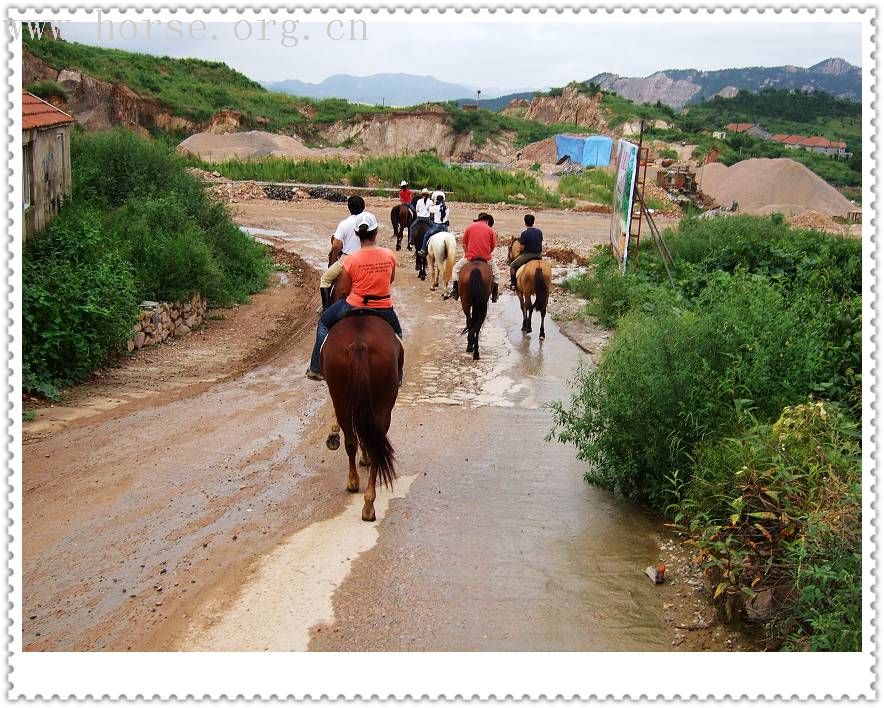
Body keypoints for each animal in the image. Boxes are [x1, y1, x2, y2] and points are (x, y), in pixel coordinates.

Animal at [320, 314, 402, 520]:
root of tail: (359, 344)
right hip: (382, 403)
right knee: (369, 442)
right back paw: (367, 503)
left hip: (342, 397)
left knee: (355, 440)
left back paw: (357, 489)